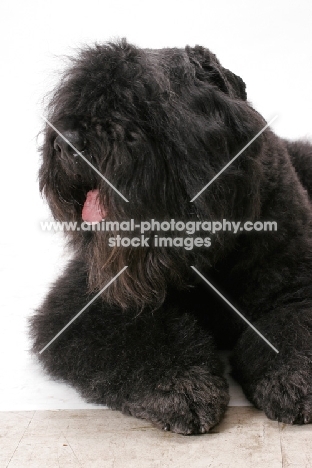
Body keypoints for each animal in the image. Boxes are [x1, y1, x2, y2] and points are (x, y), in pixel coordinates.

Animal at [31, 40, 312, 436]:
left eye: (142, 100)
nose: (66, 143)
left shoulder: (294, 287)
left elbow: (293, 322)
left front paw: (291, 377)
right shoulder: (87, 301)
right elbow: (138, 336)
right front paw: (182, 385)